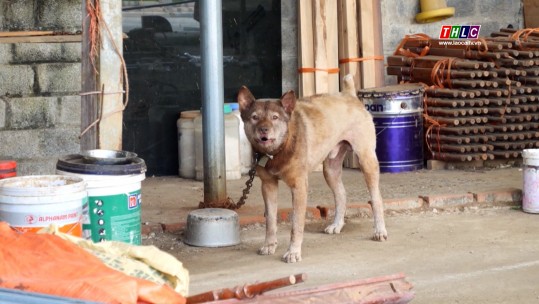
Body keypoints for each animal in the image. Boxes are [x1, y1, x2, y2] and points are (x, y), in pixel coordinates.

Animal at [238, 75, 386, 262]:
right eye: (254, 117)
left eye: (275, 117)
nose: (263, 130)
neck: (280, 149)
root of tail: (349, 94)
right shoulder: (268, 185)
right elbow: (270, 221)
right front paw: (269, 245)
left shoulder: (299, 187)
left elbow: (296, 224)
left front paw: (293, 252)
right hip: (330, 169)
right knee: (341, 194)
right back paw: (337, 225)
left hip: (366, 160)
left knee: (376, 198)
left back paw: (380, 231)